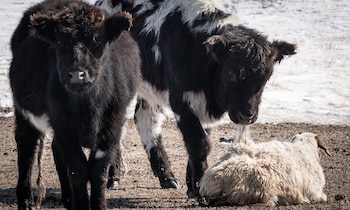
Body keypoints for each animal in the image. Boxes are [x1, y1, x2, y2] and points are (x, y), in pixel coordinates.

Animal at [8, 0, 139, 209]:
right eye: (60, 41)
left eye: (97, 38)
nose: (77, 75)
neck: (88, 106)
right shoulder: (62, 122)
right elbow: (78, 169)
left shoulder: (113, 121)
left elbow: (98, 169)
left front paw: (99, 205)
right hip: (23, 111)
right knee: (26, 146)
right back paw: (26, 200)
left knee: (54, 148)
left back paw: (69, 199)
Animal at [97, 0, 296, 201]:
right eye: (231, 73)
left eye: (266, 77)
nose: (247, 115)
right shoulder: (182, 102)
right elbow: (198, 144)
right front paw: (201, 189)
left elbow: (201, 141)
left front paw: (192, 188)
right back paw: (113, 177)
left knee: (146, 120)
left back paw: (166, 177)